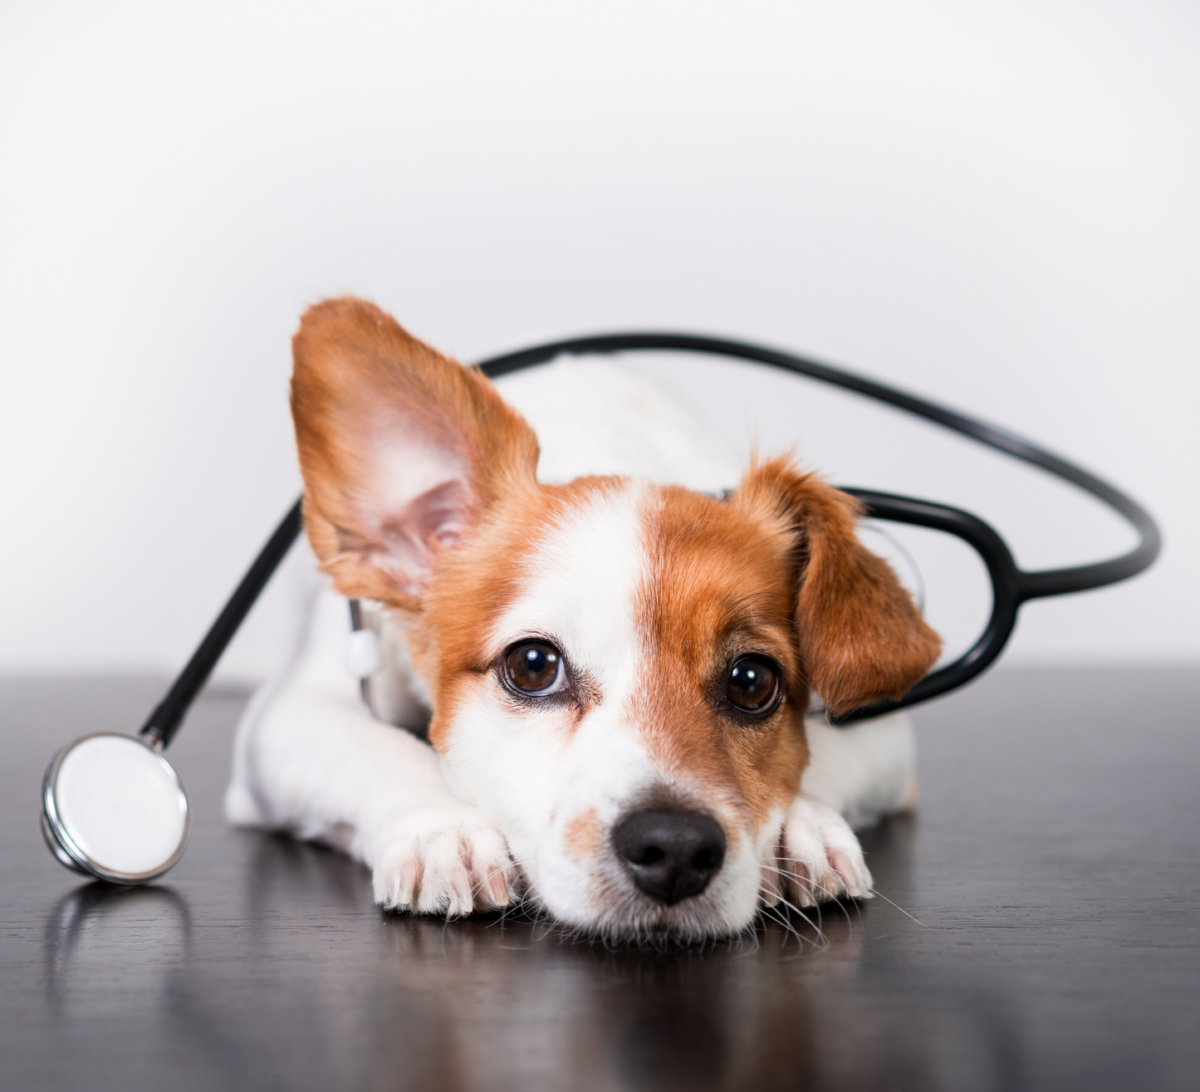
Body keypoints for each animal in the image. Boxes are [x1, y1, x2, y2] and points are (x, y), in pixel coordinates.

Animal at [223, 297, 936, 940]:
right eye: (533, 666)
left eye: (753, 681)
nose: (674, 847)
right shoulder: (289, 715)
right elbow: (380, 748)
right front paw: (443, 826)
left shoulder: (884, 736)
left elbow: (826, 757)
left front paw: (799, 827)